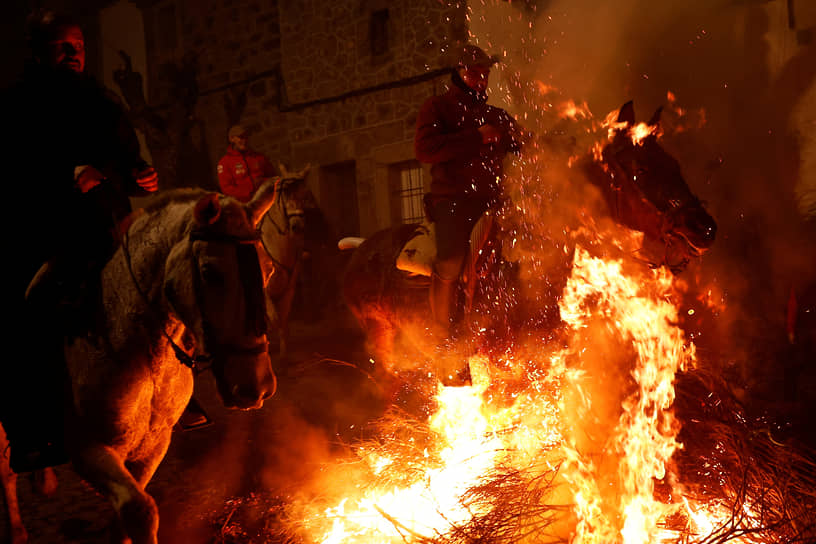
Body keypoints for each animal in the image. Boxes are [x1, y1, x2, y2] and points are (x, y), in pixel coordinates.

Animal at [0, 183, 278, 544]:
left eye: (268, 269)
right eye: (210, 272)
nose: (255, 386)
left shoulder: (152, 447)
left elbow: (125, 522)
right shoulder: (88, 450)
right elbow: (140, 509)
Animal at [260, 162, 314, 356]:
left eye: (305, 194)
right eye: (283, 194)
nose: (297, 226)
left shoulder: (288, 290)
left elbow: (282, 322)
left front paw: (284, 355)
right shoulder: (265, 293)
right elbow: (273, 320)